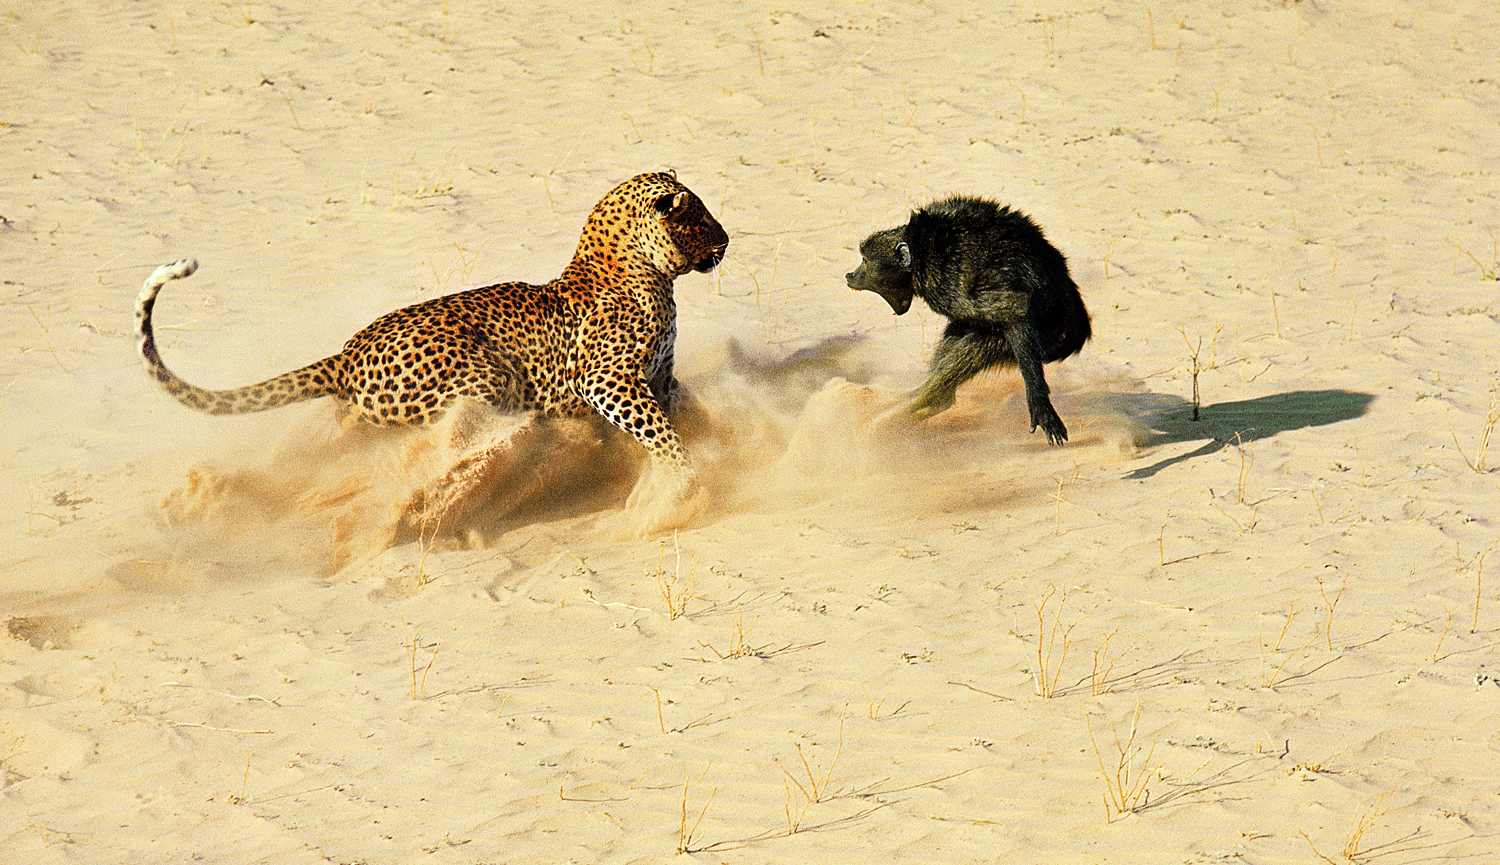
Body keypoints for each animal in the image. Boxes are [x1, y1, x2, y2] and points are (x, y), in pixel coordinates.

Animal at [132, 170, 729, 491]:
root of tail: (344, 356)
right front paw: (688, 478)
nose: (726, 241)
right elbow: (662, 434)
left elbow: (679, 411)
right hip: (485, 379)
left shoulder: (660, 376)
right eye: (698, 218)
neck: (643, 269)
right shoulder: (607, 381)